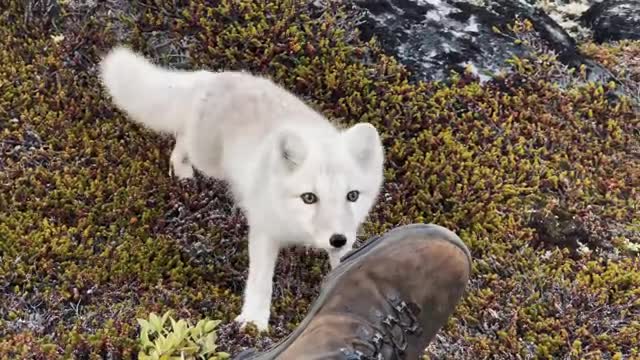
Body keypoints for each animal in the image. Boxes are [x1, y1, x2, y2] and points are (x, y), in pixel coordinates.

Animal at [97, 46, 382, 330]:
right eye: (309, 197)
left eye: (352, 196)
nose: (337, 239)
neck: (300, 231)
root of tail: (213, 77)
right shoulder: (264, 231)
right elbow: (260, 282)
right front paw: (254, 323)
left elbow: (343, 265)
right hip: (207, 160)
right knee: (182, 139)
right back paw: (185, 177)